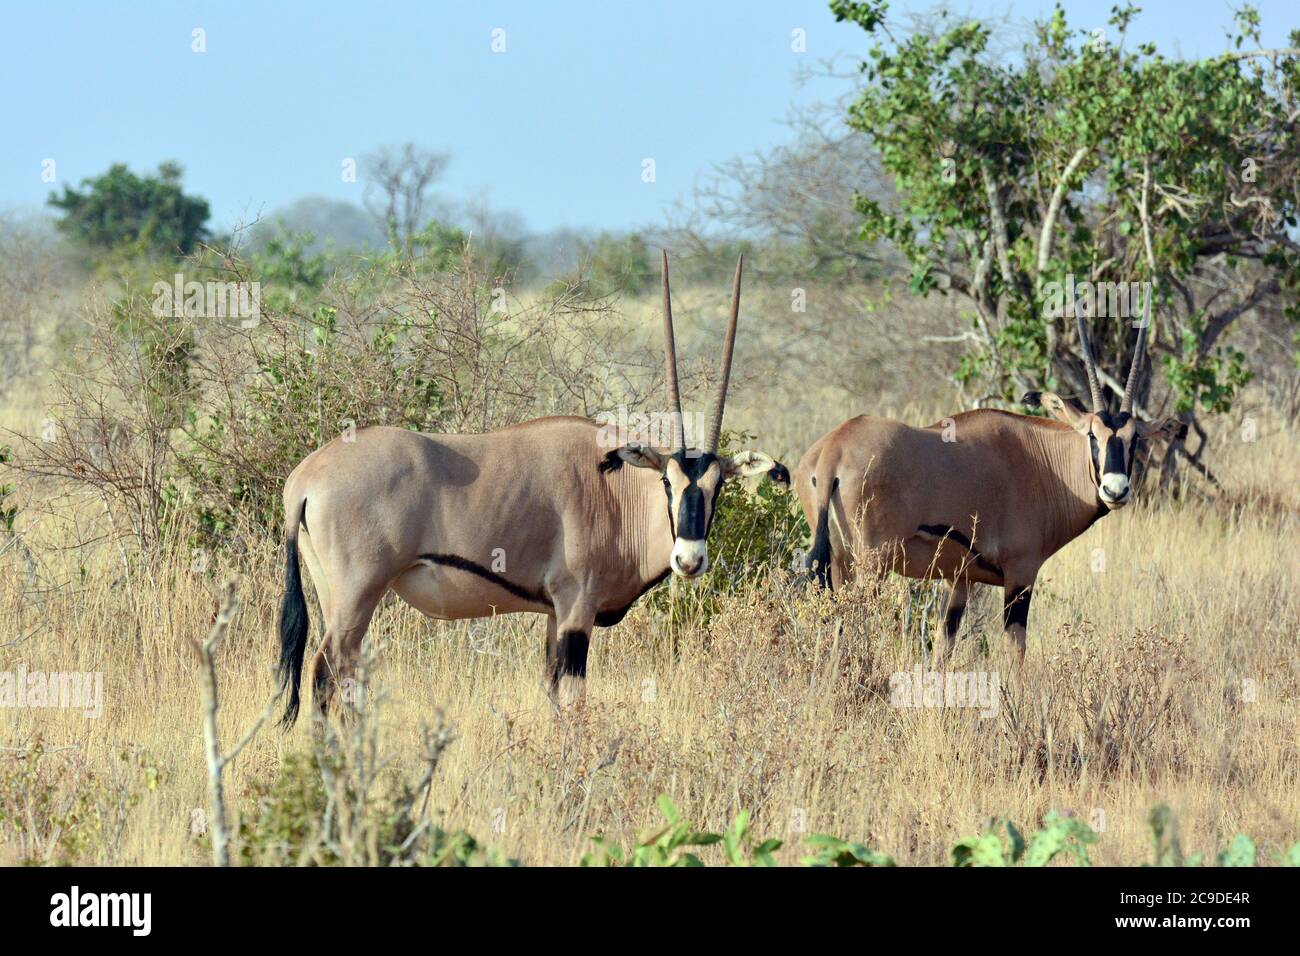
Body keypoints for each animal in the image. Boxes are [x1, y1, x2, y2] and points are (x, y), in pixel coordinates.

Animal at [275, 254, 780, 723]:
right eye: (667, 482)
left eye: (718, 486)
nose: (689, 560)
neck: (616, 491)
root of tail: (305, 478)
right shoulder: (577, 607)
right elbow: (573, 701)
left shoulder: (555, 614)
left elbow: (552, 695)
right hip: (356, 596)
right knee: (323, 673)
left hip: (334, 595)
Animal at [790, 303, 1190, 660]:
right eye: (1093, 435)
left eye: (1135, 438)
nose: (1115, 490)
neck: (1042, 461)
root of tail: (834, 449)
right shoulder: (1021, 573)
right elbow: (1016, 653)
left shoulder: (959, 579)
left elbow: (944, 650)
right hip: (870, 566)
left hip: (842, 564)